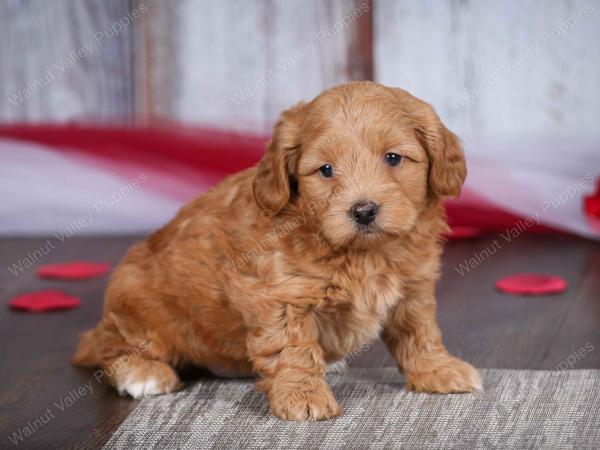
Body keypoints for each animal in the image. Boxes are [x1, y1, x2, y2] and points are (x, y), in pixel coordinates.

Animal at [72, 81, 480, 422]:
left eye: (393, 158)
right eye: (326, 170)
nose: (363, 211)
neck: (363, 252)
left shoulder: (413, 286)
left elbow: (419, 331)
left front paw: (437, 369)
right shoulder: (280, 294)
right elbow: (292, 350)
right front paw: (303, 395)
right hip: (138, 304)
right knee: (109, 346)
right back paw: (142, 373)